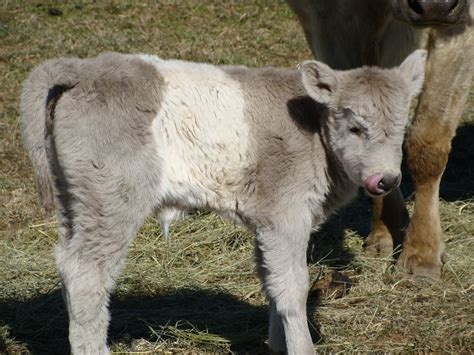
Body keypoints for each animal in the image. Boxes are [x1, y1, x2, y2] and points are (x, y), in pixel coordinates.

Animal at [19, 50, 426, 355]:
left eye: (401, 129)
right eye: (355, 127)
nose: (386, 180)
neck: (312, 126)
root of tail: (84, 69)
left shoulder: (266, 220)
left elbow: (269, 279)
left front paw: (277, 344)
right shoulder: (286, 214)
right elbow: (291, 285)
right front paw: (301, 347)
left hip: (76, 197)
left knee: (66, 262)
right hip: (111, 201)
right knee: (87, 272)